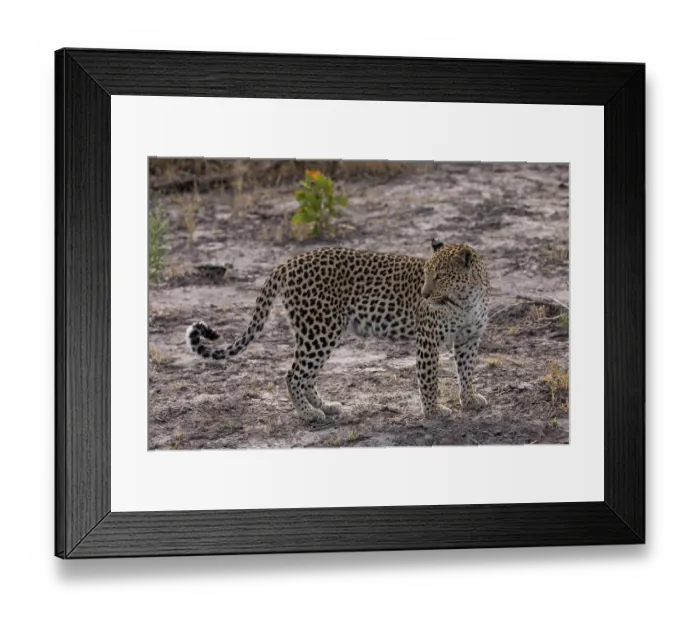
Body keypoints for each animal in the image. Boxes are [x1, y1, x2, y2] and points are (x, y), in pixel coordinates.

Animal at [186, 238, 490, 422]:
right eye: (426, 275)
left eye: (440, 276)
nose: (424, 295)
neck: (465, 300)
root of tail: (287, 263)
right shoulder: (428, 340)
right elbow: (429, 379)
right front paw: (434, 411)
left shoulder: (469, 339)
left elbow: (467, 372)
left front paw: (470, 398)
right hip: (320, 330)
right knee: (293, 375)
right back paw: (308, 414)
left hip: (318, 332)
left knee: (305, 376)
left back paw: (325, 406)